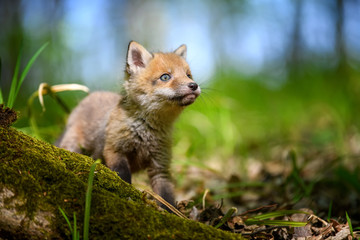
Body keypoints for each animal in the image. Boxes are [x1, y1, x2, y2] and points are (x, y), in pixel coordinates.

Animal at [57, 41, 201, 210]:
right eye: (165, 77)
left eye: (188, 75)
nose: (194, 85)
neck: (146, 131)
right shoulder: (115, 151)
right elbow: (123, 179)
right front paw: (127, 196)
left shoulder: (160, 166)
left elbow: (166, 197)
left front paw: (171, 212)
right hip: (74, 145)